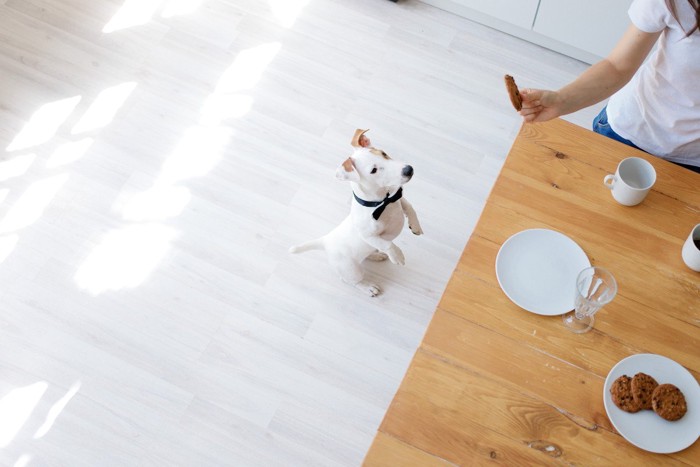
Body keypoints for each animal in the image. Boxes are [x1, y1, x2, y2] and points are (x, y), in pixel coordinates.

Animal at [288, 129, 424, 296]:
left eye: (383, 153)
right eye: (373, 170)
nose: (408, 169)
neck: (381, 202)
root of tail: (325, 241)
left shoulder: (397, 198)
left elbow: (410, 208)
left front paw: (415, 226)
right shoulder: (368, 235)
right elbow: (386, 243)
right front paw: (397, 256)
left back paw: (376, 255)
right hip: (351, 270)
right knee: (350, 281)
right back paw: (368, 287)